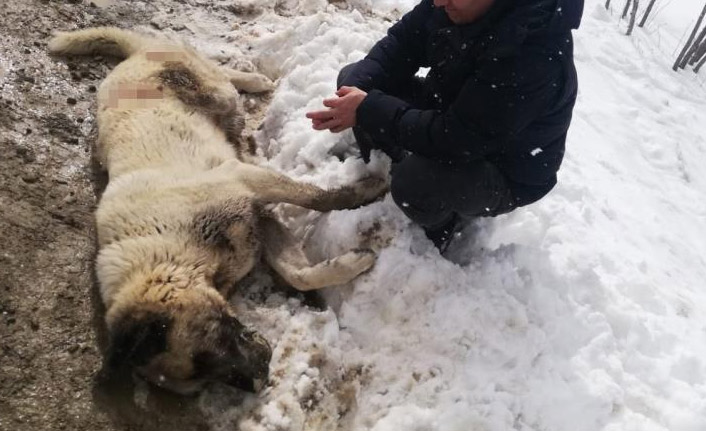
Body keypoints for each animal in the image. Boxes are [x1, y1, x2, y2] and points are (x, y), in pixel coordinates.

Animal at [49, 27, 388, 396]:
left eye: (207, 352)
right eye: (201, 379)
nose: (258, 380)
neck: (173, 254)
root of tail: (134, 55)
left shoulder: (244, 181)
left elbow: (318, 198)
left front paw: (369, 189)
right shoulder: (259, 223)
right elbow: (298, 273)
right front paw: (350, 262)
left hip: (214, 92)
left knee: (221, 75)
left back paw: (254, 80)